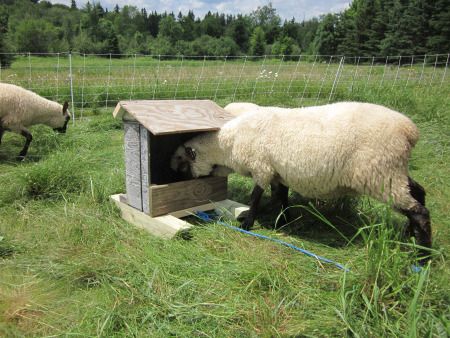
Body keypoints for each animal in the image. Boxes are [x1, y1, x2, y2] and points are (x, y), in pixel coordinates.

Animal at [172, 101, 432, 262]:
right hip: (390, 170)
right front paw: (283, 220)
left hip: (380, 173)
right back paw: (410, 235)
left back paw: (423, 256)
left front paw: (247, 223)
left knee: (419, 211)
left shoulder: (262, 167)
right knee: (419, 192)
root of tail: (410, 131)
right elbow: (281, 197)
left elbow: (256, 197)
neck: (227, 144)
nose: (182, 184)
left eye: (183, 162)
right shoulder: (278, 172)